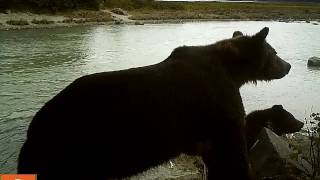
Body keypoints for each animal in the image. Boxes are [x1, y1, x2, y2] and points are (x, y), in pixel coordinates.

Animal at [18, 27, 292, 180]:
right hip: (74, 148)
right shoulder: (220, 105)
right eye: (275, 52)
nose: (288, 66)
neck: (233, 71)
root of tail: (34, 129)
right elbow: (232, 156)